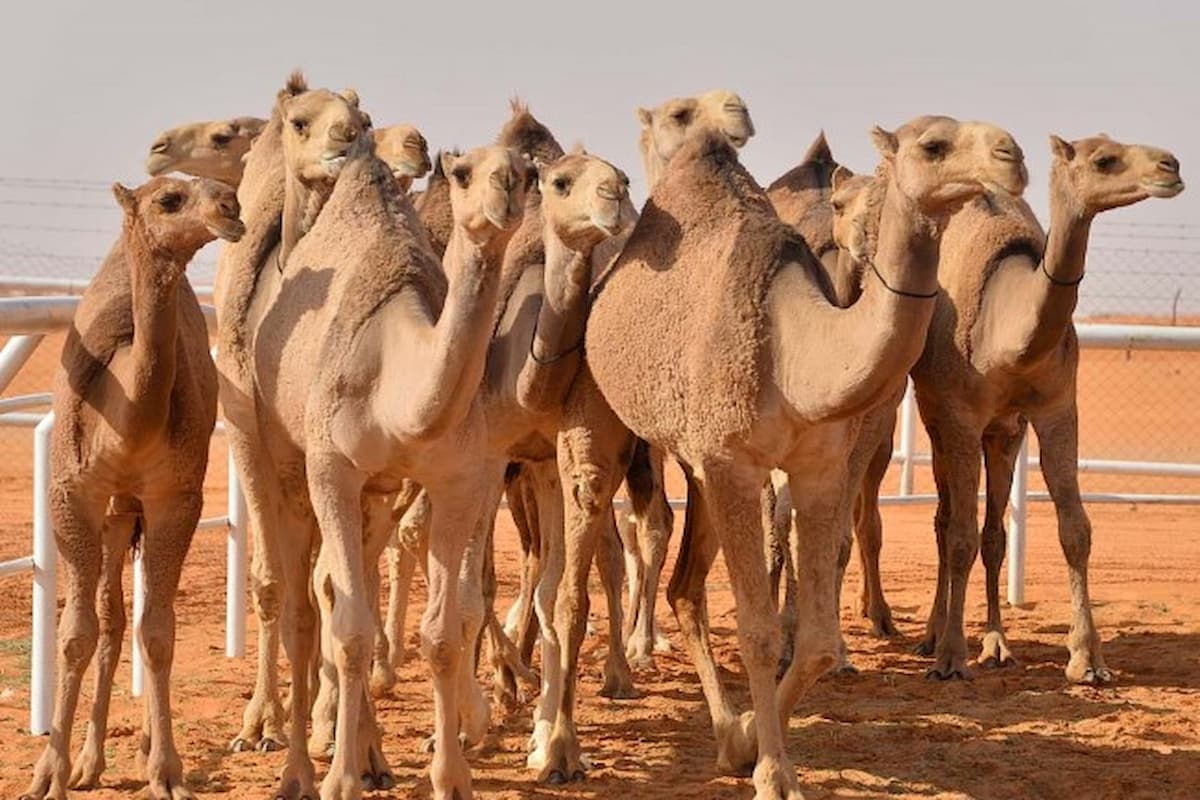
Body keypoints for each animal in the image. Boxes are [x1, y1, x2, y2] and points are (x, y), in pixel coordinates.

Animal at [20, 175, 243, 800]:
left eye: (221, 191)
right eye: (168, 200)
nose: (230, 207)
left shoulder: (176, 498)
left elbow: (160, 631)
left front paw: (167, 771)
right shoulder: (71, 494)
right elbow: (76, 632)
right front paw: (50, 773)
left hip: (130, 508)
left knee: (132, 616)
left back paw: (133, 748)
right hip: (114, 509)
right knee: (109, 615)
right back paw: (89, 761)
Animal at [576, 115, 1027, 796]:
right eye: (933, 146)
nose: (1012, 156)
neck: (795, 353)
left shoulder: (815, 468)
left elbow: (815, 638)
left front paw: (746, 741)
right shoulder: (734, 464)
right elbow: (760, 631)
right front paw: (774, 772)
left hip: (697, 463)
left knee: (685, 588)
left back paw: (722, 731)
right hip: (623, 426)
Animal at [868, 133, 1185, 681]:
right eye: (1105, 159)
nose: (1171, 166)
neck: (1009, 331)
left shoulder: (1056, 406)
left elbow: (1074, 529)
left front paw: (1087, 659)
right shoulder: (959, 414)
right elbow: (959, 535)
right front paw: (951, 656)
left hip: (1005, 432)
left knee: (994, 531)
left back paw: (997, 642)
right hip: (935, 413)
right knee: (947, 520)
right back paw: (933, 637)